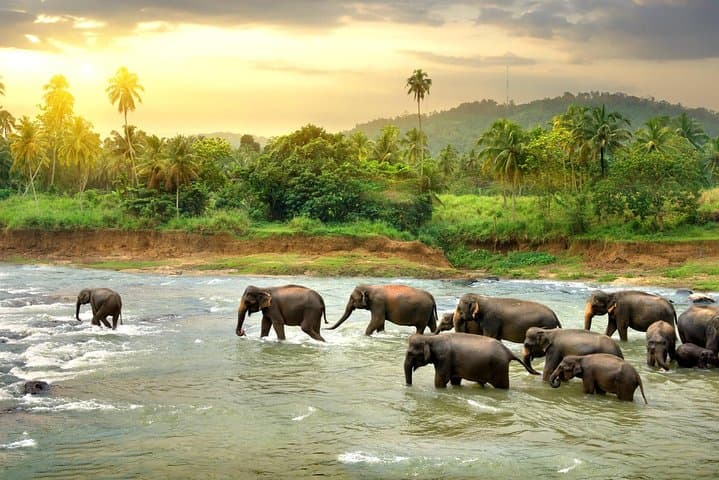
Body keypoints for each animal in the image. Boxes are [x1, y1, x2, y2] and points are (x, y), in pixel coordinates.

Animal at [404, 333, 539, 389]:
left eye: (410, 353)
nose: (409, 386)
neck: (430, 338)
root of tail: (509, 352)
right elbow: (455, 379)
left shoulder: (444, 358)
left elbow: (441, 380)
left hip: (499, 368)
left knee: (502, 386)